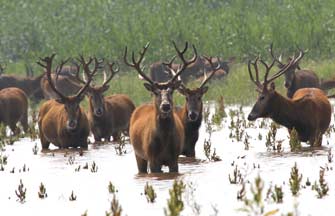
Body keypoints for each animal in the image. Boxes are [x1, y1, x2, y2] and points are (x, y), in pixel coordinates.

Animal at [124, 41, 198, 173]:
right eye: (156, 92)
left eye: (171, 91)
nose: (166, 105)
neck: (164, 141)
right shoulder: (153, 159)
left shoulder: (174, 159)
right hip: (138, 154)